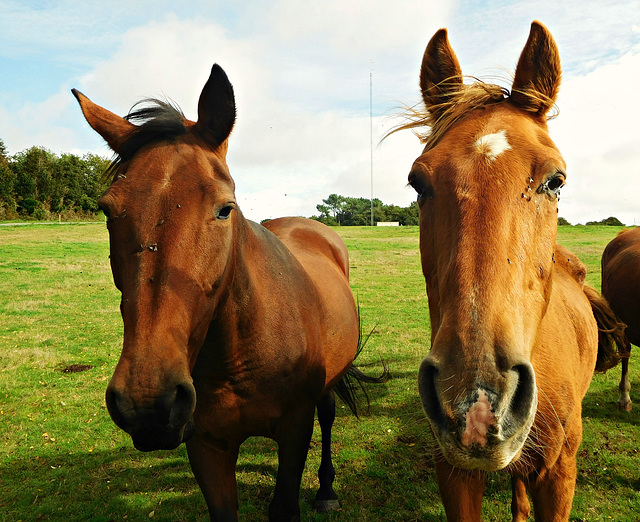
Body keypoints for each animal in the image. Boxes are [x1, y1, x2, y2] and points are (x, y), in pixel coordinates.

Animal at [73, 65, 388, 520]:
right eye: (108, 210)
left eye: (225, 209)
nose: (147, 401)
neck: (239, 354)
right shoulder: (206, 445)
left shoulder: (295, 430)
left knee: (328, 415)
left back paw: (327, 489)